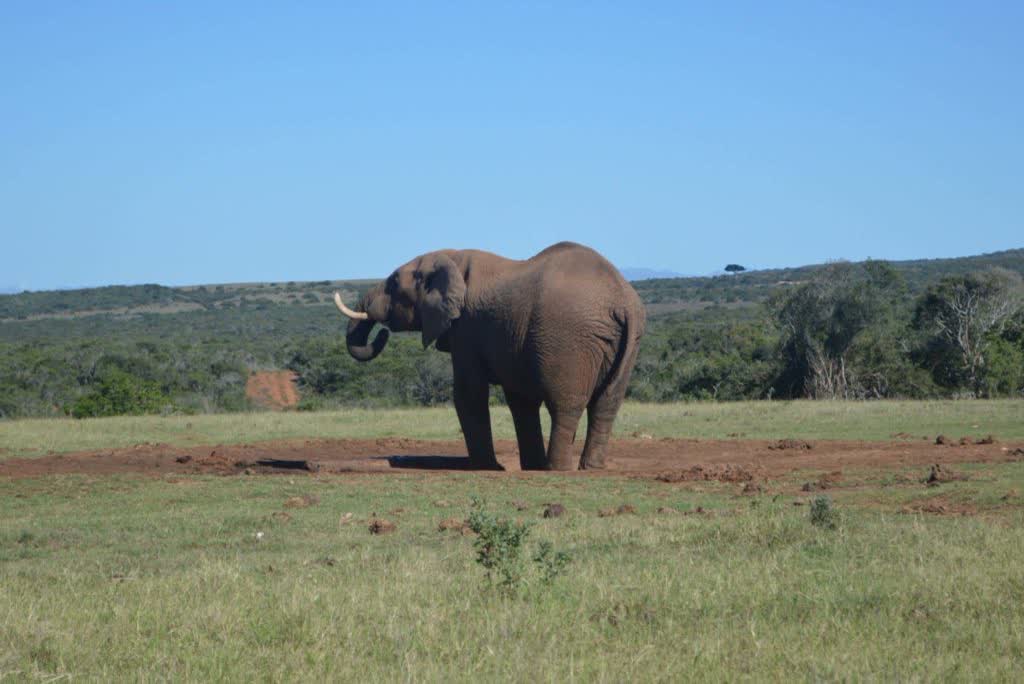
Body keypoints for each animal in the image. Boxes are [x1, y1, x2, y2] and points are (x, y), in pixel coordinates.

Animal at [333, 241, 645, 471]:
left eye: (394, 283)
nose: (382, 334)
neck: (451, 258)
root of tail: (622, 301)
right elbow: (520, 400)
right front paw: (528, 466)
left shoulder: (466, 328)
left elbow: (468, 392)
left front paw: (488, 467)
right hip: (627, 344)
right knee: (606, 405)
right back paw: (588, 468)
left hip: (570, 338)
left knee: (565, 405)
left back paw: (557, 469)